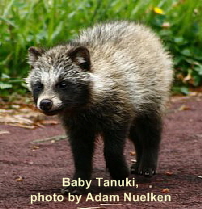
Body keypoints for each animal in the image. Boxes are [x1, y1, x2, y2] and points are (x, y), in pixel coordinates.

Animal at [26, 20, 173, 193]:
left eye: (62, 84)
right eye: (39, 85)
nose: (45, 103)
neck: (80, 105)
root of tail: (138, 27)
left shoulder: (118, 106)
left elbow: (113, 149)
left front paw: (119, 171)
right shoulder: (76, 124)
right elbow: (81, 152)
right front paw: (79, 180)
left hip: (153, 88)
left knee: (150, 127)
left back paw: (148, 158)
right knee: (135, 134)